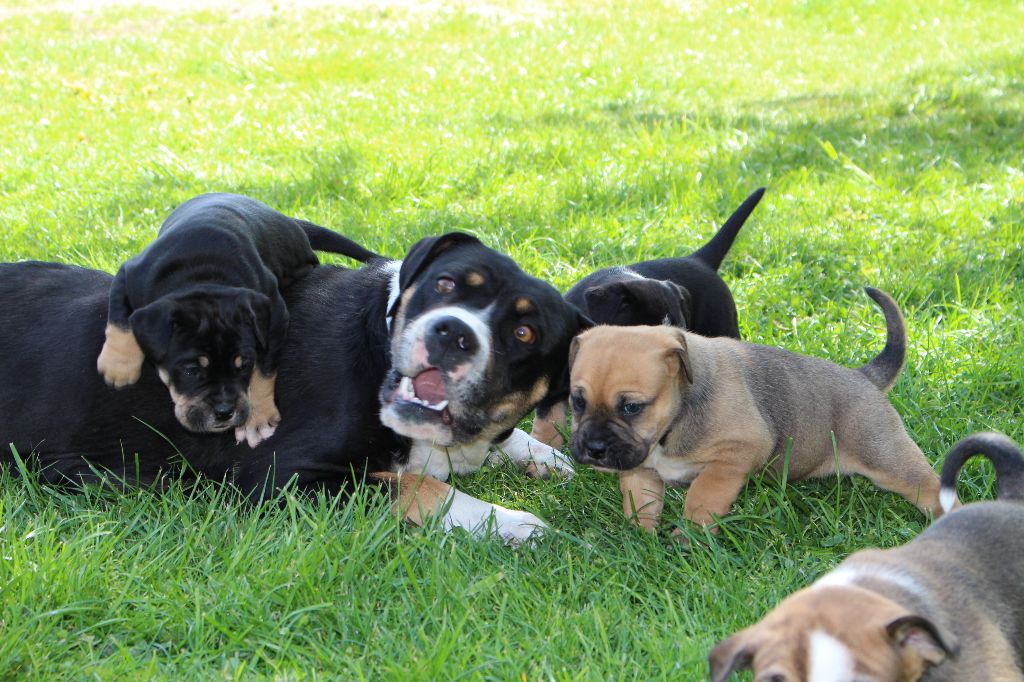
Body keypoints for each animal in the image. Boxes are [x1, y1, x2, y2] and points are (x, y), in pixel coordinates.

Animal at [0, 233, 589, 540]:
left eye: (524, 331)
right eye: (445, 285)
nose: (452, 333)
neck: (377, 343)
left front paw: (543, 456)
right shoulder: (285, 479)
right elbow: (420, 487)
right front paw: (509, 521)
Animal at [569, 286, 942, 532]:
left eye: (632, 407)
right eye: (577, 401)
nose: (594, 448)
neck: (673, 422)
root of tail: (863, 377)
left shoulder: (732, 459)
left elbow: (702, 498)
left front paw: (687, 540)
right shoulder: (640, 470)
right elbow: (641, 503)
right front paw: (641, 537)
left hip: (887, 458)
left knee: (929, 487)